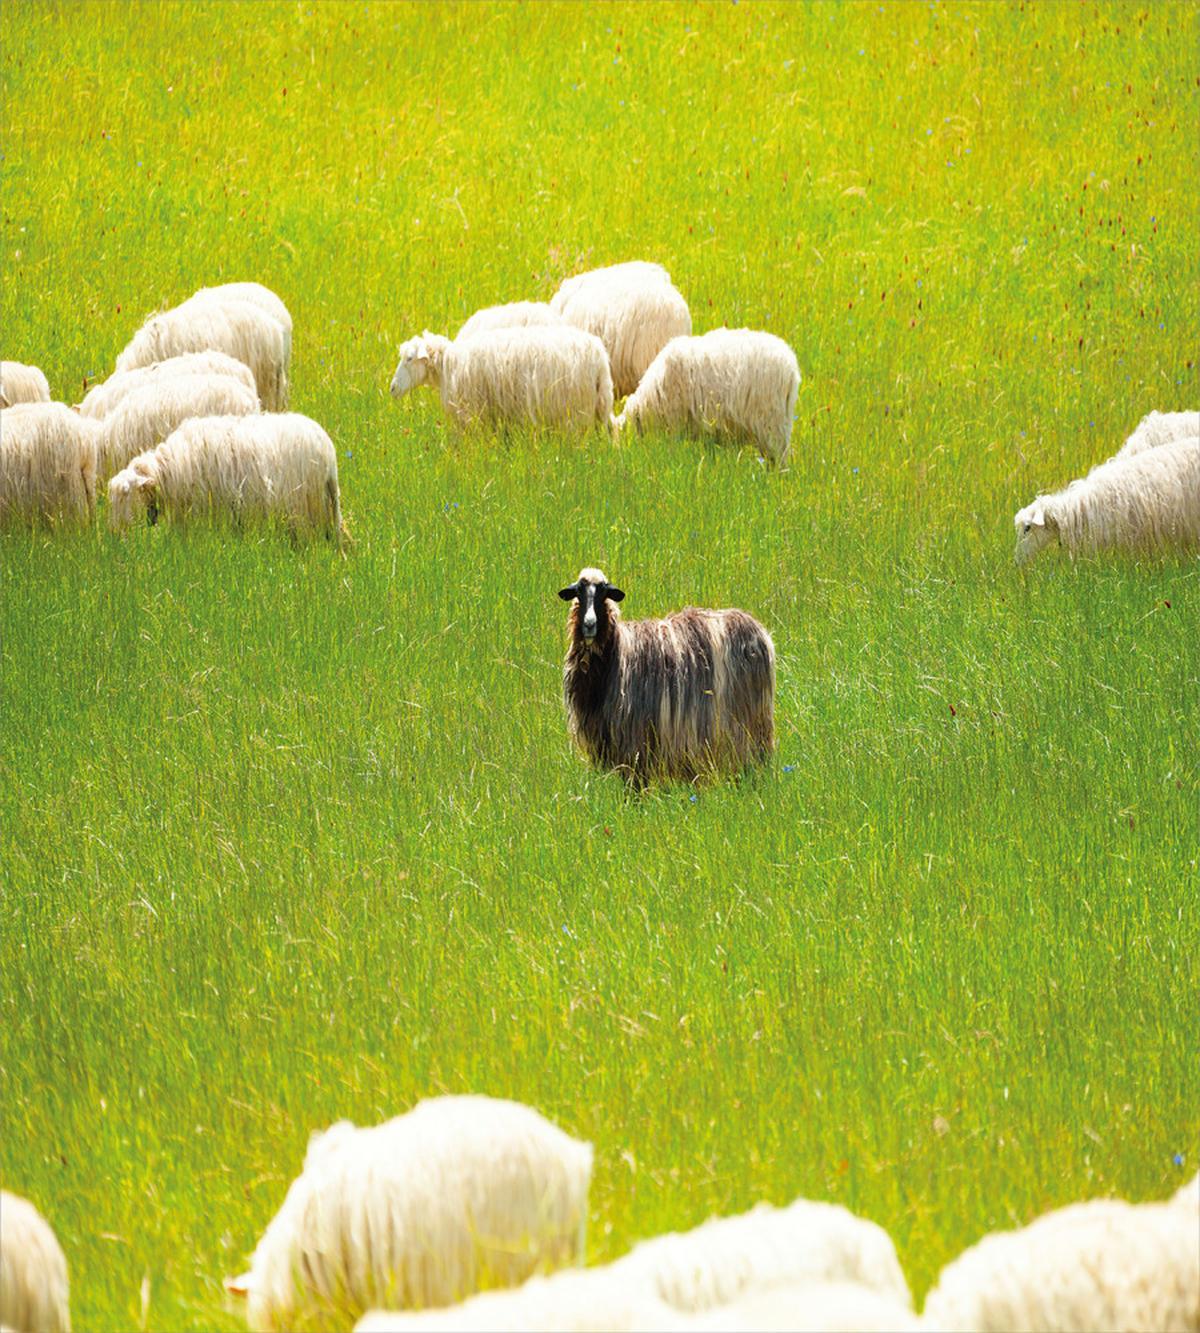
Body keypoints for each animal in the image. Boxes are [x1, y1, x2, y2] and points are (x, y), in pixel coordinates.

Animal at [389, 327, 613, 433]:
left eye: (409, 358)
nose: (392, 388)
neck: (448, 365)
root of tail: (599, 358)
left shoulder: (472, 414)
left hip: (575, 412)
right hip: (600, 407)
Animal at [559, 568, 775, 785]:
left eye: (604, 592)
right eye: (579, 591)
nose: (589, 625)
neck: (616, 651)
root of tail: (759, 633)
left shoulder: (635, 739)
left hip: (745, 720)